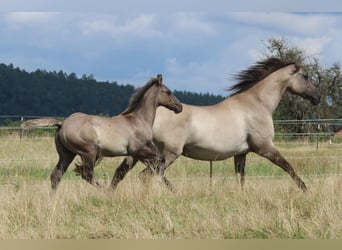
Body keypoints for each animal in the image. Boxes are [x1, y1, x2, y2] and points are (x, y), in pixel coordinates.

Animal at [21, 74, 182, 191]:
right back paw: (104, 191)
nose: (179, 107)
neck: (139, 120)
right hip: (88, 152)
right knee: (86, 174)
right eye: (168, 92)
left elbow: (157, 165)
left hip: (66, 154)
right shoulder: (138, 150)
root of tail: (62, 124)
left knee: (56, 175)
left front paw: (172, 189)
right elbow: (160, 161)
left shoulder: (139, 153)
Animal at [111, 58, 320, 191]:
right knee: (147, 176)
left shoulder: (241, 153)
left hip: (138, 154)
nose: (317, 97)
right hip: (167, 154)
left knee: (121, 173)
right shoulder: (266, 148)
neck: (257, 104)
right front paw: (306, 190)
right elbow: (289, 168)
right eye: (306, 76)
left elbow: (240, 178)